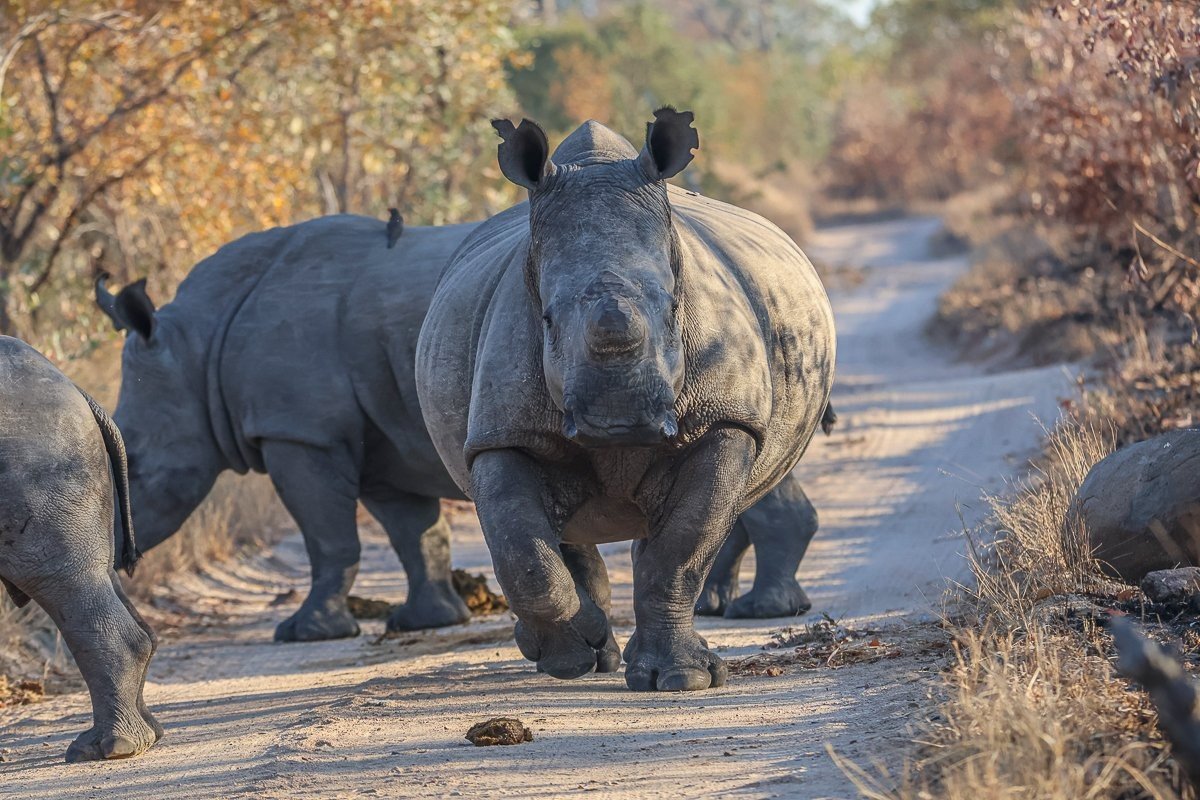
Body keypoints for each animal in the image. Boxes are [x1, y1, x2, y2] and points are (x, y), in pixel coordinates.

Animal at [0, 336, 162, 761]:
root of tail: (76, 388)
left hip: (38, 449)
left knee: (61, 579)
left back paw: (105, 749)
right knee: (99, 575)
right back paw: (144, 737)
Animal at [415, 109, 836, 691]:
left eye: (676, 307)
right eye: (546, 319)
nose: (621, 422)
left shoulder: (726, 420)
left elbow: (683, 548)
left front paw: (681, 680)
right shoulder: (502, 432)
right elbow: (523, 555)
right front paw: (572, 656)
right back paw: (579, 651)